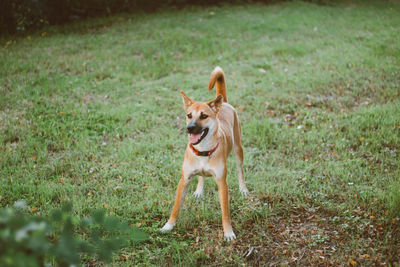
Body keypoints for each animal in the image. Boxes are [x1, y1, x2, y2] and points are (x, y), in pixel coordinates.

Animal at [159, 66, 247, 241]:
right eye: (189, 115)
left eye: (204, 116)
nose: (189, 128)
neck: (203, 151)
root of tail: (223, 102)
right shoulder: (184, 180)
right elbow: (176, 207)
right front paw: (168, 226)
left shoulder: (222, 183)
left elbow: (225, 213)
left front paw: (228, 232)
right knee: (201, 176)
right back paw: (199, 191)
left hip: (238, 149)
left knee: (240, 170)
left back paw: (243, 189)